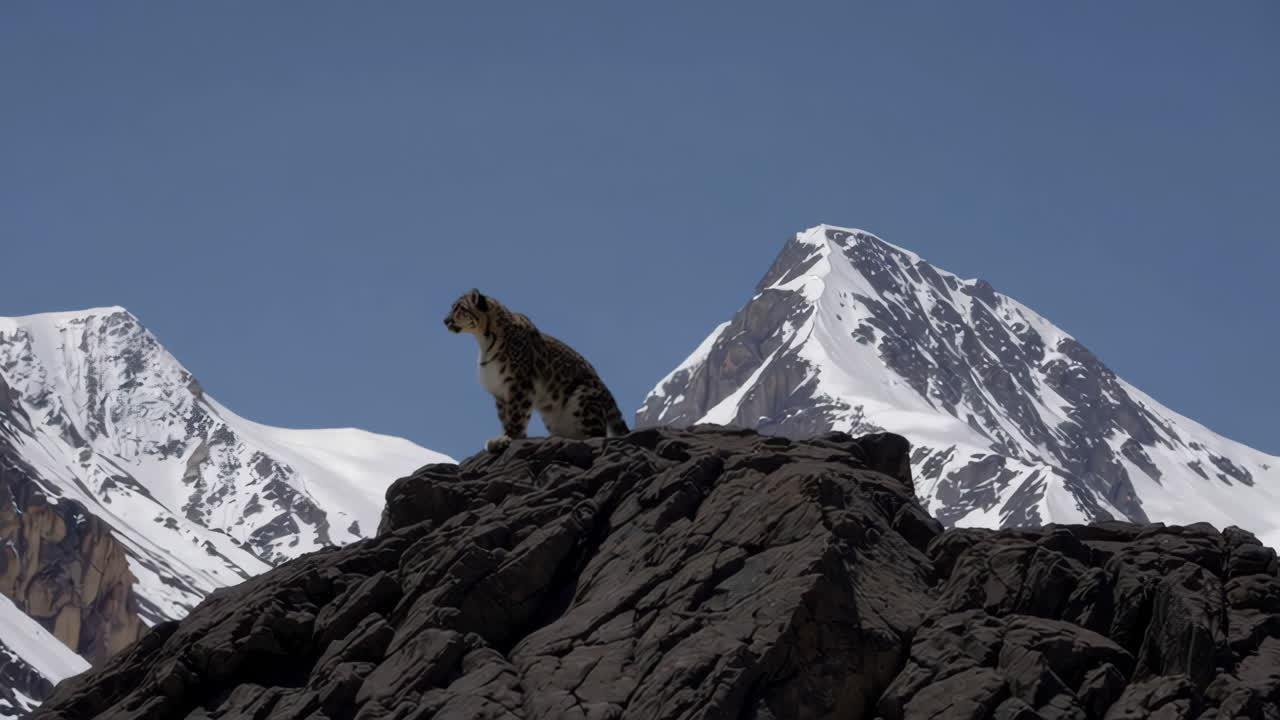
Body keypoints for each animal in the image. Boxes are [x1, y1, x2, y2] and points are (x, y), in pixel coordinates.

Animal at [444, 289, 629, 453]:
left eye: (459, 307)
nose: (445, 320)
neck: (484, 342)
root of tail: (607, 392)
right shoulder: (499, 391)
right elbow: (504, 416)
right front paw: (500, 438)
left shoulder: (519, 383)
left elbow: (516, 414)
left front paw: (509, 437)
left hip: (583, 400)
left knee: (597, 434)